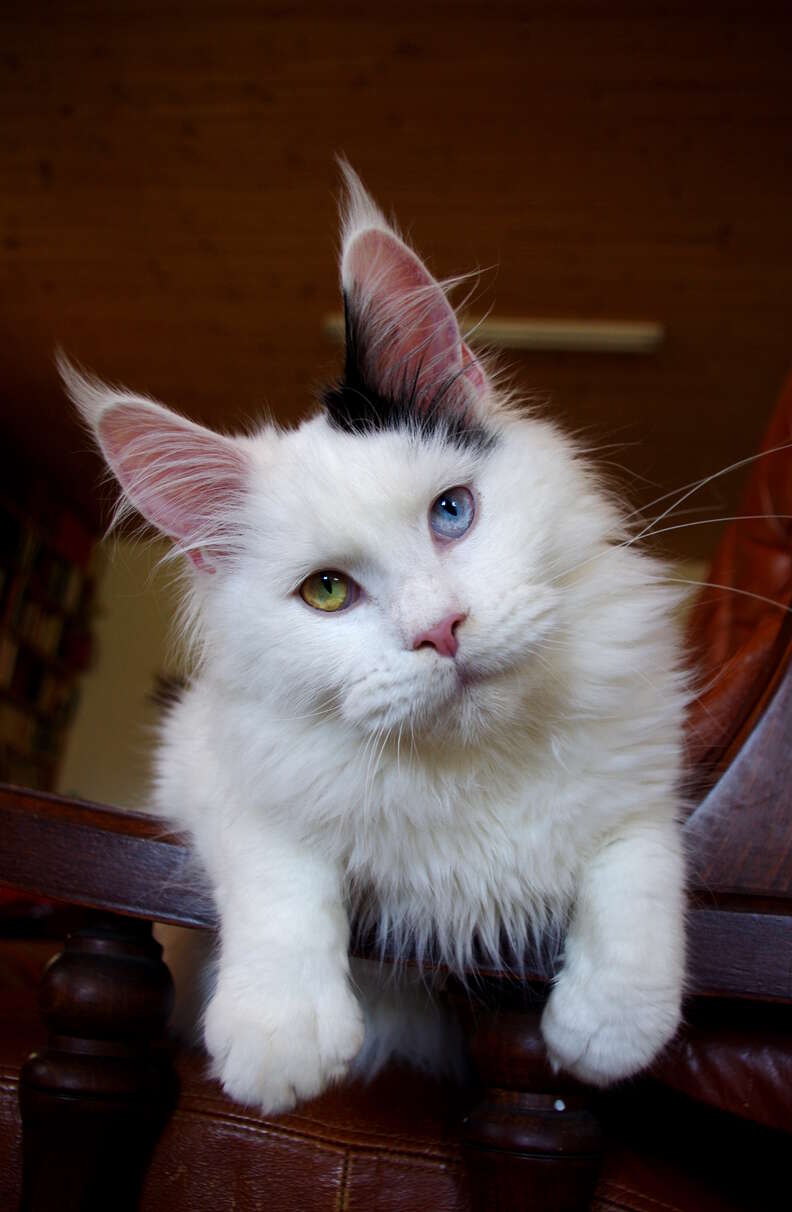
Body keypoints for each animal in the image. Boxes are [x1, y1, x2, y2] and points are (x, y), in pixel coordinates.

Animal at [60, 166, 684, 1110]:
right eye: (327, 592)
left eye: (452, 513)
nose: (440, 630)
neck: (472, 765)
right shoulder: (205, 757)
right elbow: (278, 862)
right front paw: (280, 1030)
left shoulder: (644, 768)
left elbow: (639, 860)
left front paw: (610, 1022)